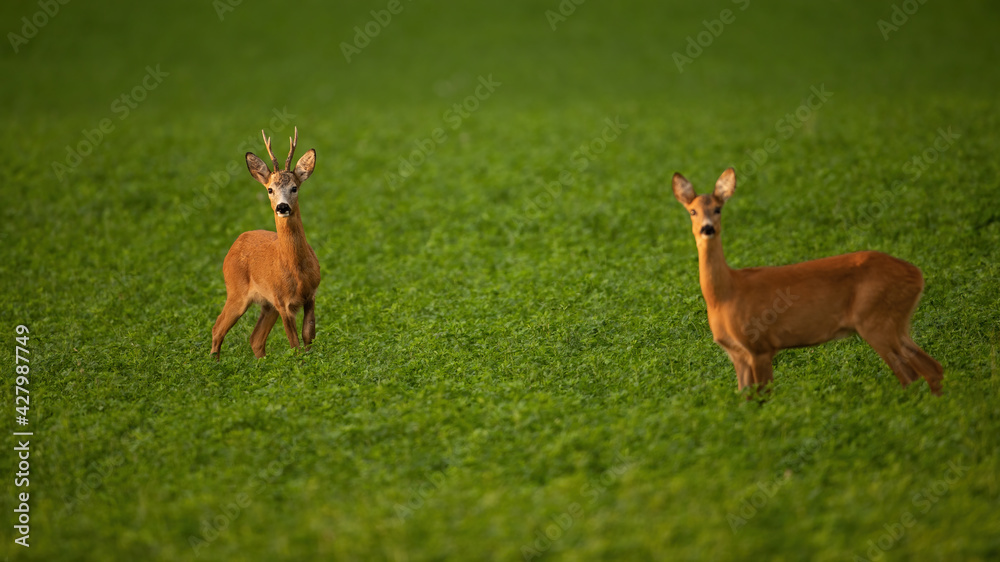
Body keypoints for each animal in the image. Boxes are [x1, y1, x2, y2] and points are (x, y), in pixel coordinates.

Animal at [211, 127, 321, 360]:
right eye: (270, 189)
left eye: (294, 187)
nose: (282, 207)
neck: (296, 270)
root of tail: (236, 242)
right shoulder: (282, 302)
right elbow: (294, 344)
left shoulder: (311, 295)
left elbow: (308, 336)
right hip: (236, 291)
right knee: (218, 328)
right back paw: (214, 364)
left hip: (266, 305)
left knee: (255, 338)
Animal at [672, 167, 943, 396]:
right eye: (692, 211)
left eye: (718, 209)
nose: (707, 228)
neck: (725, 294)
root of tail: (917, 274)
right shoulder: (737, 353)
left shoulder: (760, 345)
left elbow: (764, 397)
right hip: (895, 323)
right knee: (932, 368)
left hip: (875, 319)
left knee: (911, 375)